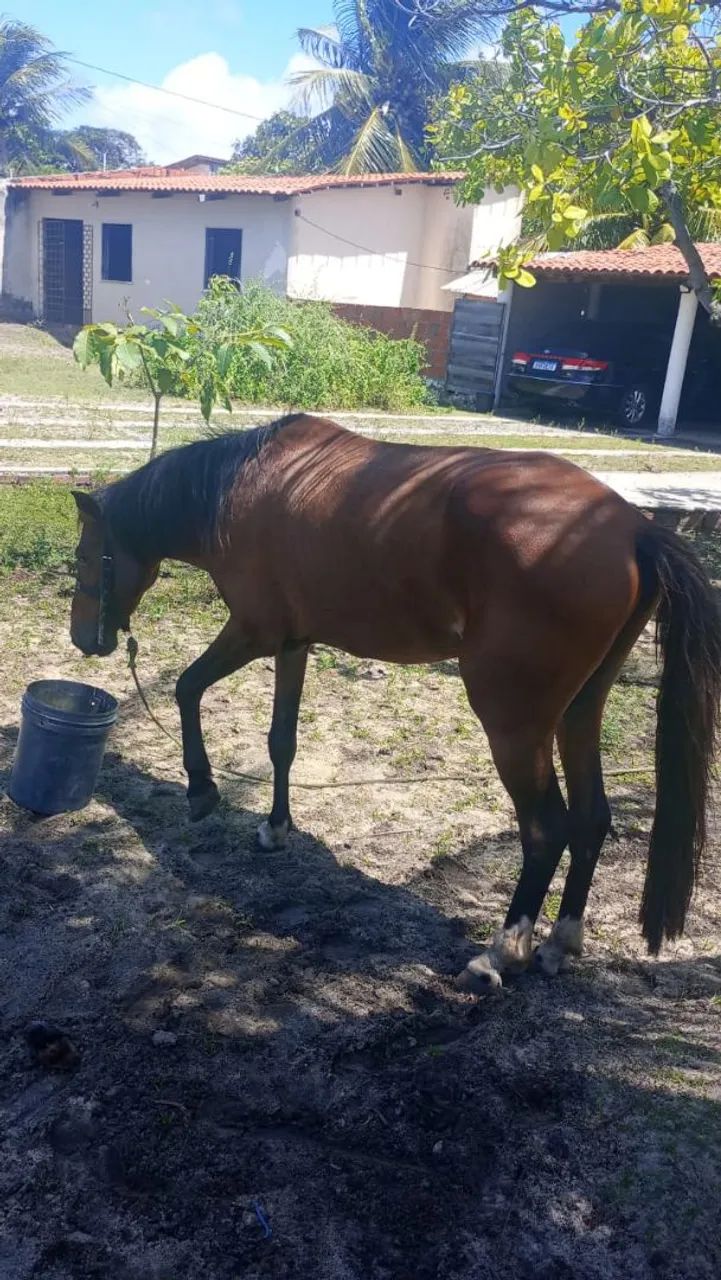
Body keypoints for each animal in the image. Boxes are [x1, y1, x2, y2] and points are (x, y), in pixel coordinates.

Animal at [70, 413, 721, 991]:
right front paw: (275, 827)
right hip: (579, 713)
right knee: (591, 819)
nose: (83, 639)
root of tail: (632, 527)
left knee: (544, 830)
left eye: (84, 557)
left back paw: (500, 953)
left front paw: (202, 789)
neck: (242, 485)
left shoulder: (252, 632)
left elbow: (186, 687)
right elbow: (281, 742)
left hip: (515, 724)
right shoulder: (293, 643)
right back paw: (560, 943)